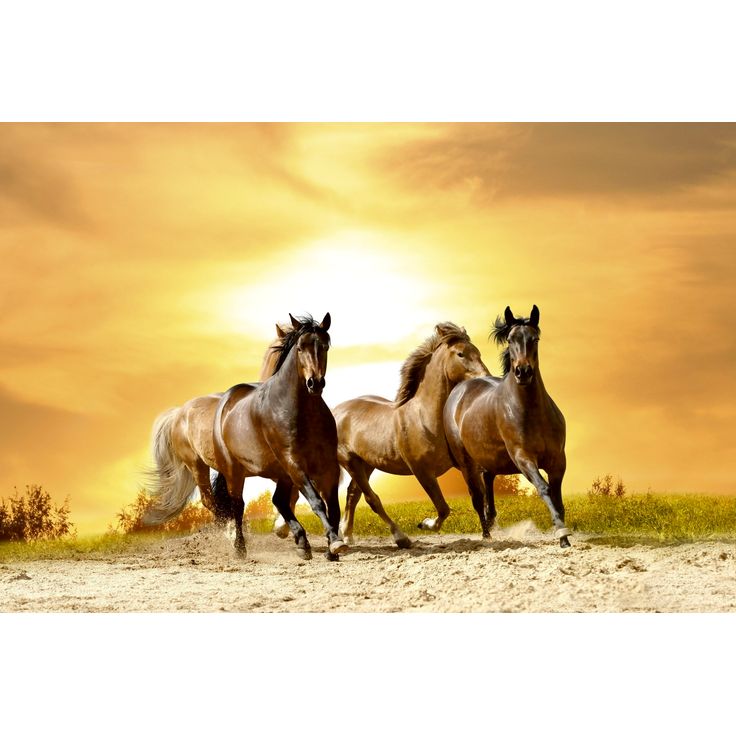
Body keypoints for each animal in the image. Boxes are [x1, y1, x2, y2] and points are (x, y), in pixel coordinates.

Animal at [212, 313, 347, 560]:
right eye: (300, 348)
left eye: (324, 346)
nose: (315, 383)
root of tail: (226, 401)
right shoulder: (294, 462)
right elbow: (317, 502)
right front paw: (335, 543)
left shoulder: (327, 465)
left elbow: (332, 506)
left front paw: (333, 548)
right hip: (235, 471)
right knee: (238, 506)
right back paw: (240, 549)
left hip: (281, 473)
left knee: (279, 500)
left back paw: (302, 543)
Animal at [334, 322, 490, 547]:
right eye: (461, 353)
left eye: (478, 352)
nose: (485, 378)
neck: (425, 418)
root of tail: (336, 411)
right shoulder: (422, 471)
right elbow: (443, 508)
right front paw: (424, 523)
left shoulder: (465, 465)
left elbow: (478, 498)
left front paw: (488, 535)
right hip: (350, 462)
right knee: (372, 499)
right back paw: (401, 538)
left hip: (367, 464)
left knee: (352, 494)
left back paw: (347, 535)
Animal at [443, 305, 571, 548]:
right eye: (511, 340)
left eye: (535, 338)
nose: (523, 372)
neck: (532, 412)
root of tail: (459, 389)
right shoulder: (523, 457)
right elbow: (544, 488)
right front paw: (562, 533)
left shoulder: (558, 460)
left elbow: (558, 497)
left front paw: (564, 536)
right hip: (466, 463)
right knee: (477, 497)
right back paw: (486, 536)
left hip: (489, 459)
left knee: (488, 483)